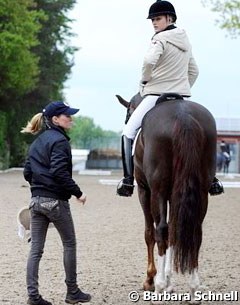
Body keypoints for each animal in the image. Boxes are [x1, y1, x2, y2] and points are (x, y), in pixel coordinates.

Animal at [116, 93, 218, 302]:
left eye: (128, 112)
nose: (127, 120)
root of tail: (184, 117)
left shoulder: (145, 191)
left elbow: (150, 233)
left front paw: (152, 280)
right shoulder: (174, 194)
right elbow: (173, 230)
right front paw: (170, 281)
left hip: (157, 190)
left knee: (160, 229)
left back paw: (160, 286)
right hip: (200, 191)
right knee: (195, 231)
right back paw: (193, 288)